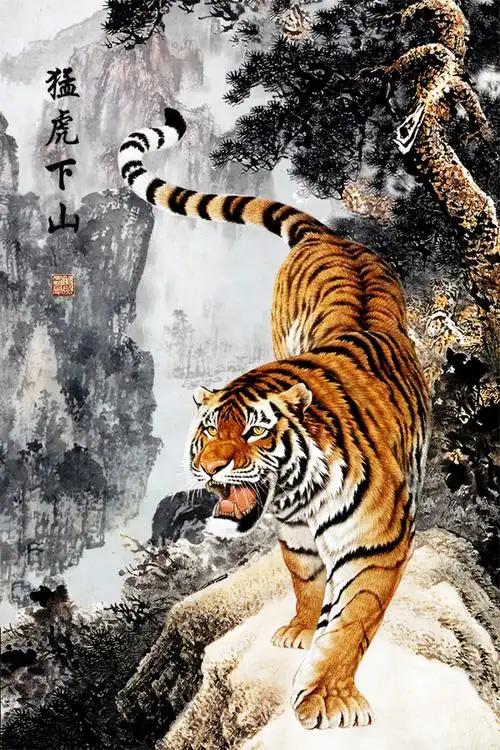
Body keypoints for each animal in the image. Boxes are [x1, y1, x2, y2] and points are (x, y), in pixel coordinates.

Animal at [118, 108, 431, 730]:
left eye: (255, 431)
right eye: (208, 431)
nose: (210, 470)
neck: (300, 492)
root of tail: (330, 235)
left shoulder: (378, 543)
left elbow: (352, 620)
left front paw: (329, 697)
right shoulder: (295, 534)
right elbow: (306, 582)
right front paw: (299, 631)